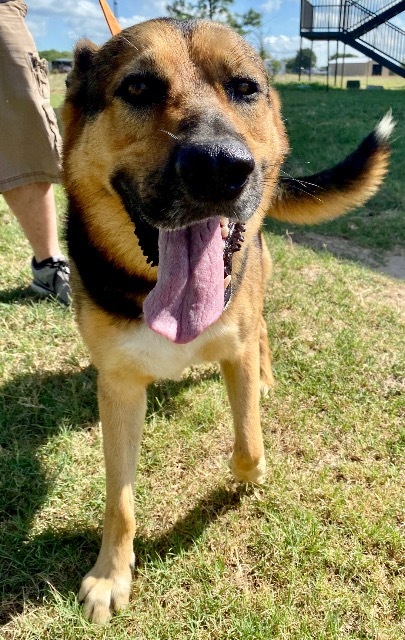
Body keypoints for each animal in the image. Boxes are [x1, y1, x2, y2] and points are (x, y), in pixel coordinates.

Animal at [62, 16, 392, 624]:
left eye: (244, 88)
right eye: (138, 88)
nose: (219, 167)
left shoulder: (233, 351)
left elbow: (249, 444)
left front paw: (251, 474)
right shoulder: (118, 385)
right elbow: (120, 499)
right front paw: (110, 574)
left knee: (261, 330)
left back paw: (266, 376)